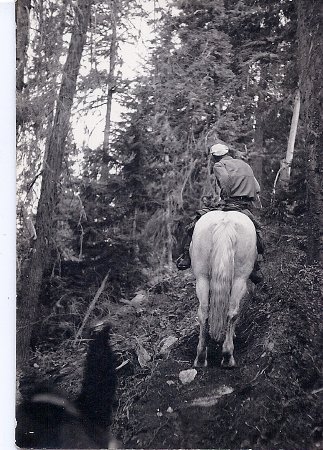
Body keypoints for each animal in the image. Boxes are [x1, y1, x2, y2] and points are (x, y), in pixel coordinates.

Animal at [190, 209, 258, 368]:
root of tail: (225, 223)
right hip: (240, 278)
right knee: (232, 312)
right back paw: (227, 357)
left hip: (202, 279)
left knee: (204, 313)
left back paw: (201, 358)